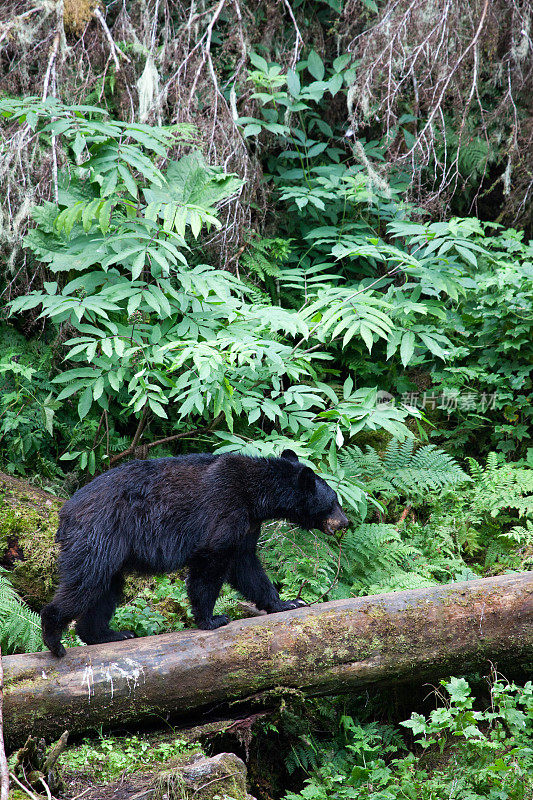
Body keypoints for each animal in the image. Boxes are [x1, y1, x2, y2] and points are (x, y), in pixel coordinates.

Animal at [42, 450, 350, 656]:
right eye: (334, 501)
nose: (345, 522)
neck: (255, 495)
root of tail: (65, 513)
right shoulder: (224, 510)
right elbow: (211, 564)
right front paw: (211, 619)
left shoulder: (248, 525)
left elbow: (247, 567)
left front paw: (286, 603)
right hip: (100, 535)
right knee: (84, 582)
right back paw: (55, 639)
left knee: (106, 589)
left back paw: (107, 634)